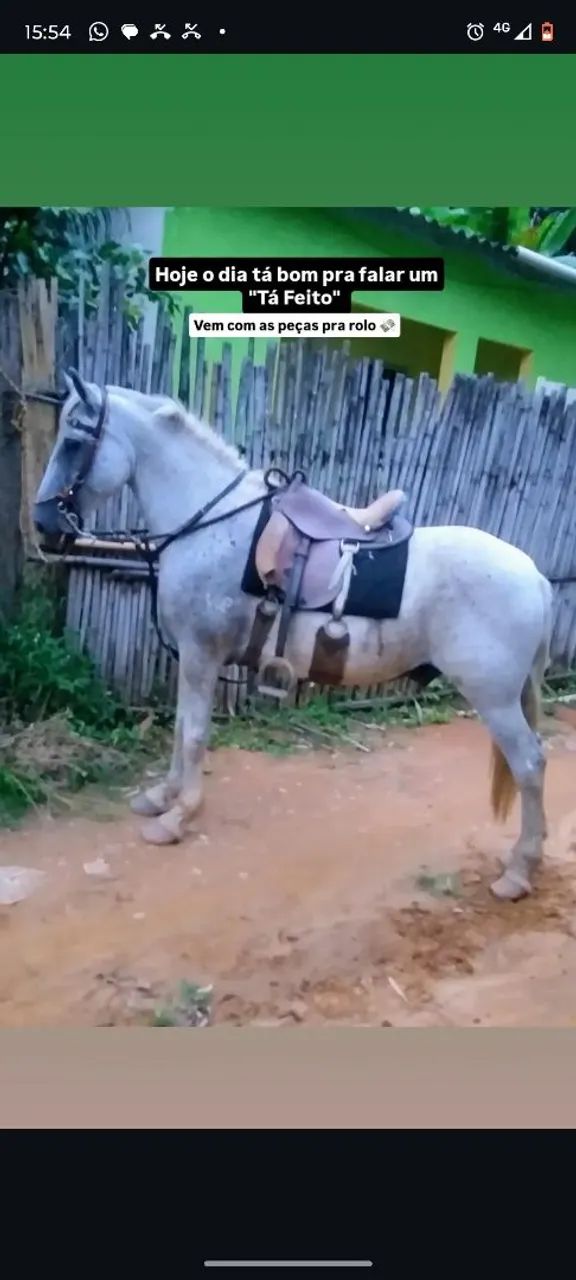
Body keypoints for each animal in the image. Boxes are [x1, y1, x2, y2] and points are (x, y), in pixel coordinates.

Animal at [34, 368, 554, 903]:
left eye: (73, 441)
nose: (44, 523)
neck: (211, 524)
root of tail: (535, 576)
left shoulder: (202, 655)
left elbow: (194, 734)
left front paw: (178, 816)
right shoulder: (192, 660)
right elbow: (180, 728)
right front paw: (163, 796)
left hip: (494, 699)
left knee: (530, 764)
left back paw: (518, 872)